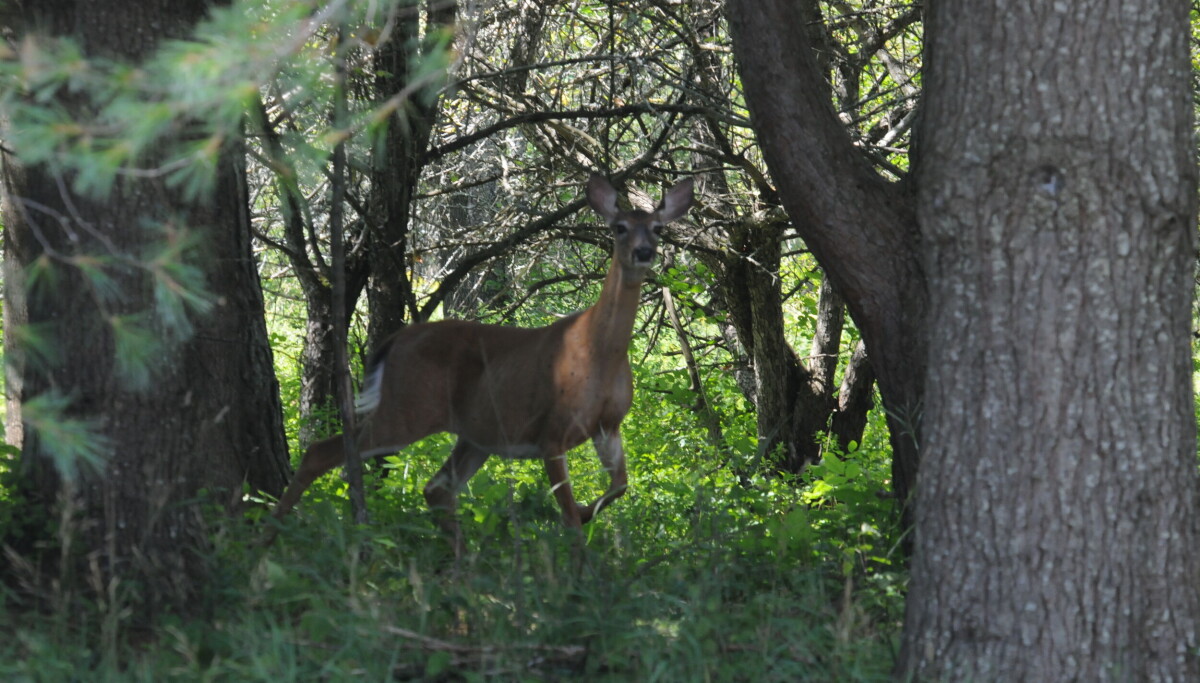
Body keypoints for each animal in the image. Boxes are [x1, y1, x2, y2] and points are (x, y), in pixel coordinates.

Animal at [268, 174, 695, 554]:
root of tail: (395, 341)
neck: (599, 353)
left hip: (475, 433)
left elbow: (619, 486)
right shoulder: (552, 429)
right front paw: (580, 568)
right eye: (620, 228)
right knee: (322, 451)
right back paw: (267, 539)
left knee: (436, 488)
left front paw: (589, 513)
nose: (645, 252)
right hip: (408, 409)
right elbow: (570, 519)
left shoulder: (608, 424)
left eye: (657, 228)